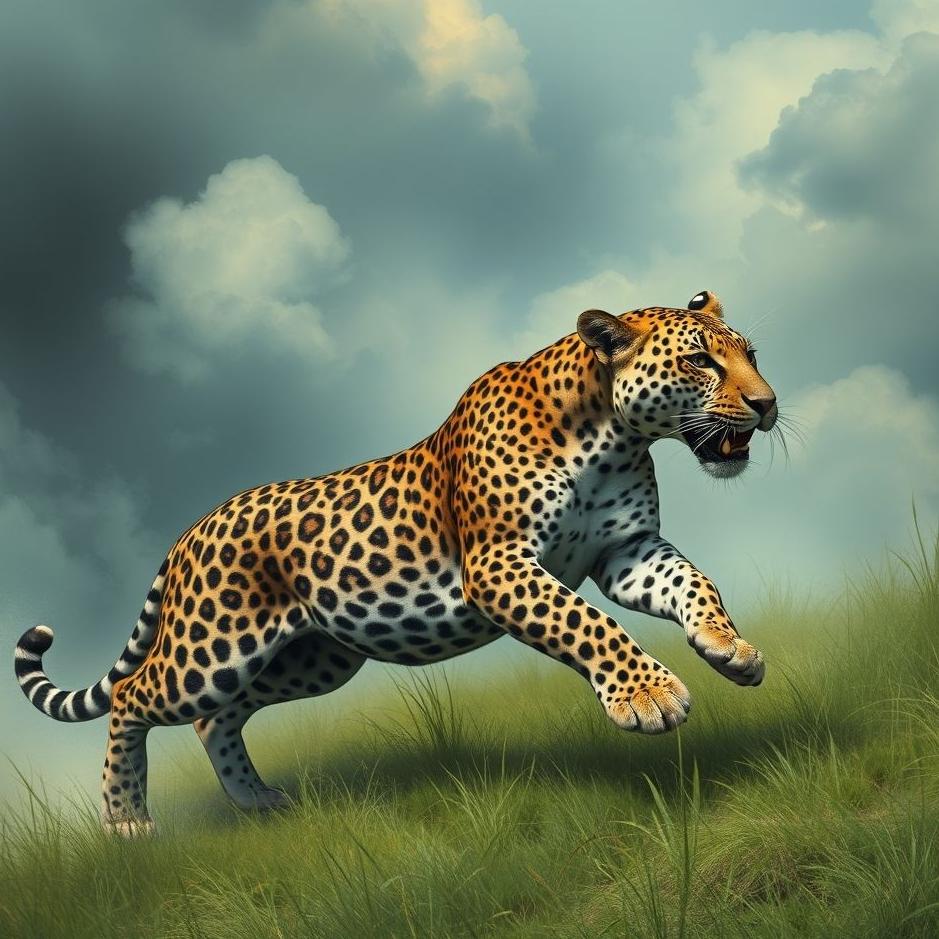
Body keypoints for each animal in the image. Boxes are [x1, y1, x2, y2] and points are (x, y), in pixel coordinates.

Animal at [15, 289, 777, 835]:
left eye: (751, 353)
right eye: (700, 362)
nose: (767, 404)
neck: (609, 434)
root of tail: (189, 531)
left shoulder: (626, 551)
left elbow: (692, 581)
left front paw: (730, 648)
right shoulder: (499, 565)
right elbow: (586, 623)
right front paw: (649, 696)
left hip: (312, 658)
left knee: (215, 719)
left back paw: (256, 799)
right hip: (211, 649)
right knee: (132, 695)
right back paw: (126, 818)